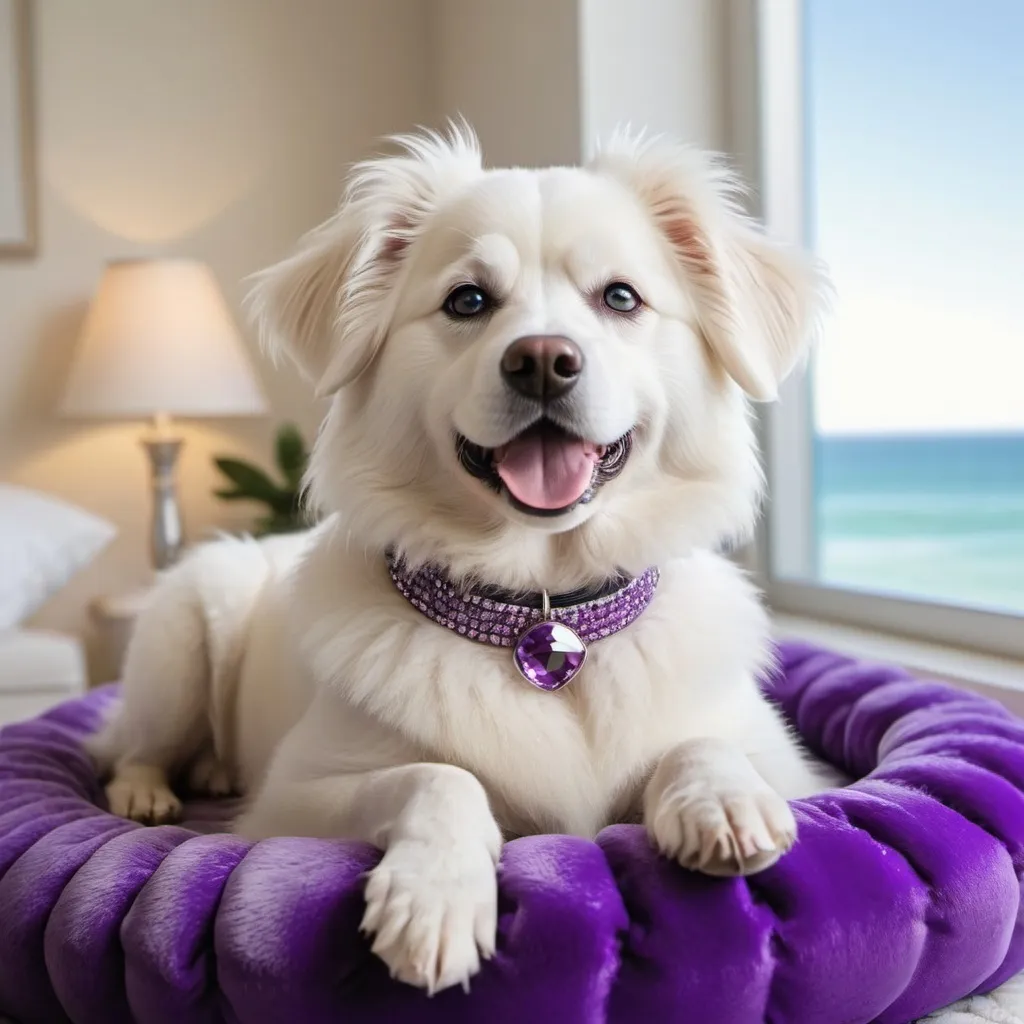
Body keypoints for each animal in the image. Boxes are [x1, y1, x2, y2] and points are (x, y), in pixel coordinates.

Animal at [92, 125, 831, 991]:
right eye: (467, 301)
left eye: (620, 298)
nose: (543, 359)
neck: (542, 614)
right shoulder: (290, 800)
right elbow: (442, 776)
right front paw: (435, 898)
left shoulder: (795, 768)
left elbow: (703, 745)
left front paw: (722, 800)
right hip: (181, 635)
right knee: (129, 749)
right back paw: (150, 791)